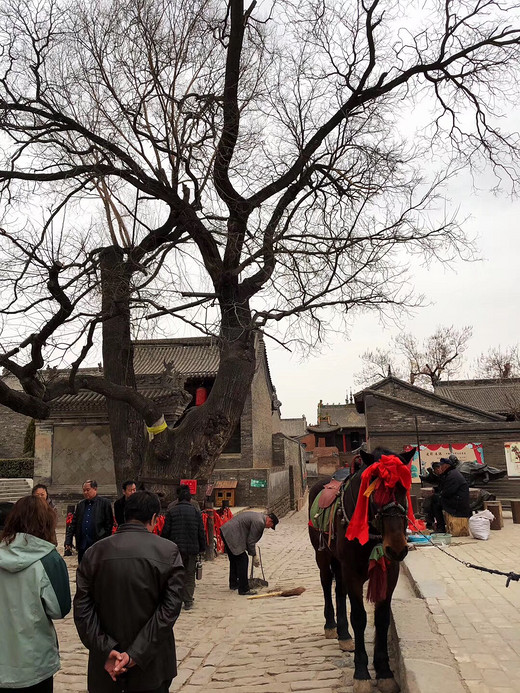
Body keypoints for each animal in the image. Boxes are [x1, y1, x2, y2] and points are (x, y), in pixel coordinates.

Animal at [308, 446, 414, 692]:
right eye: (374, 493)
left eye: (403, 488)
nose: (397, 547)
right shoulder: (352, 572)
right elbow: (359, 617)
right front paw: (362, 674)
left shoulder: (390, 570)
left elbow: (382, 618)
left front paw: (384, 672)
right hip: (322, 554)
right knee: (326, 584)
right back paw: (331, 625)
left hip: (339, 563)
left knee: (339, 591)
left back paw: (344, 635)